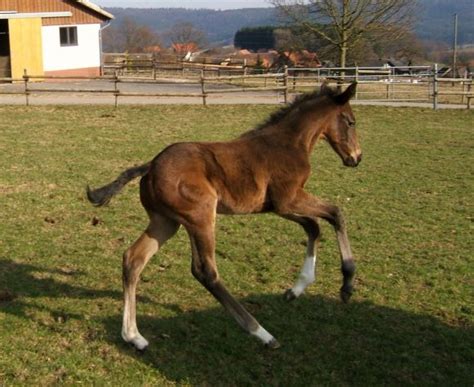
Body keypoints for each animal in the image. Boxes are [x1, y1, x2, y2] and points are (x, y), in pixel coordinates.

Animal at [87, 83, 362, 350]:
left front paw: (296, 290)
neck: (289, 143)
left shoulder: (278, 207)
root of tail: (151, 165)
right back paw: (262, 334)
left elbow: (314, 226)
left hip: (167, 222)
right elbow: (336, 213)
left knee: (133, 259)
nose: (356, 158)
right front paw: (346, 285)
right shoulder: (289, 199)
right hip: (201, 217)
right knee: (204, 271)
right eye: (350, 121)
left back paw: (134, 336)